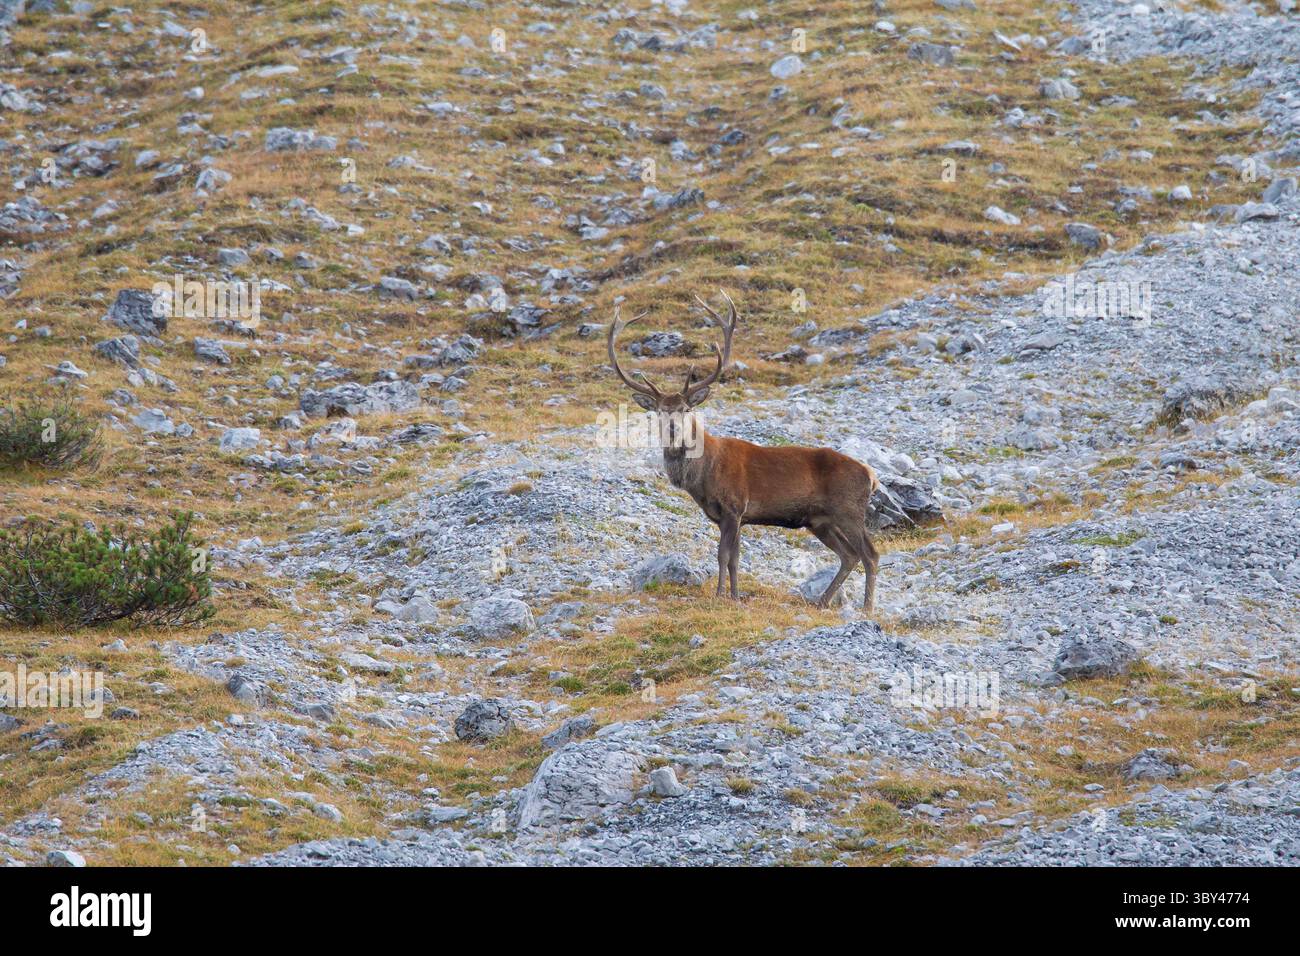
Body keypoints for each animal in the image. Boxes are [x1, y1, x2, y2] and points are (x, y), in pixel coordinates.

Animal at [607, 291, 883, 614]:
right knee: (848, 555)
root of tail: (871, 475)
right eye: (659, 411)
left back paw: (867, 608)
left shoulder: (734, 505)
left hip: (849, 510)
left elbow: (723, 555)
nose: (673, 429)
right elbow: (735, 558)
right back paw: (822, 601)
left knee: (870, 553)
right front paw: (735, 596)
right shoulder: (733, 515)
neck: (703, 475)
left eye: (686, 408)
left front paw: (719, 596)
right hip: (820, 521)